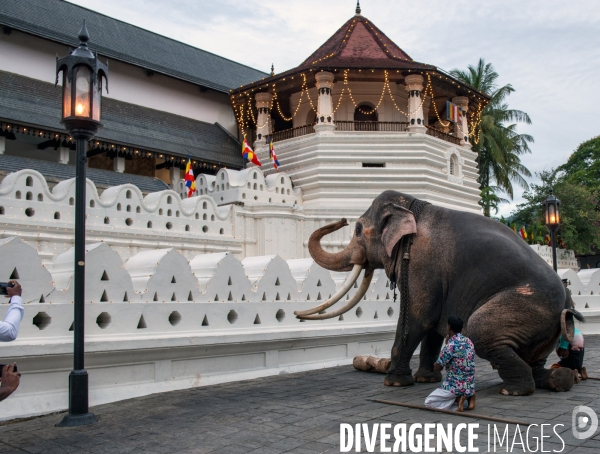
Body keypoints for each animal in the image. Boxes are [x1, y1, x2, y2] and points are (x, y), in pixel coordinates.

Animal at [298, 190, 584, 396]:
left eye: (357, 230)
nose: (342, 220)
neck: (412, 206)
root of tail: (565, 303)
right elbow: (435, 324)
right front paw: (426, 379)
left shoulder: (421, 263)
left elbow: (418, 318)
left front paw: (394, 383)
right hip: (546, 329)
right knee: (536, 359)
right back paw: (559, 379)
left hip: (526, 307)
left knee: (480, 329)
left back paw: (513, 390)